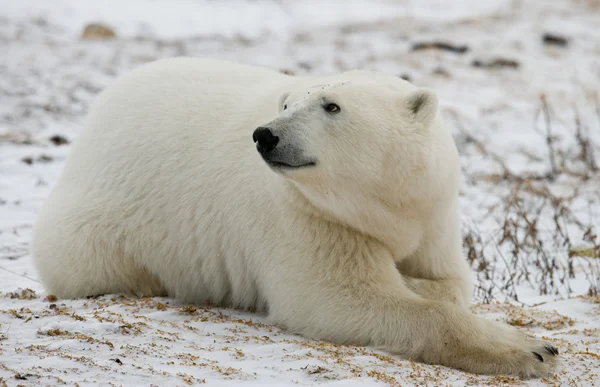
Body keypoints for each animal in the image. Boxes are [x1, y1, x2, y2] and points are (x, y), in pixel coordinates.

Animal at [31, 58, 556, 378]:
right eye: (286, 103)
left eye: (331, 105)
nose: (265, 135)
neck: (379, 205)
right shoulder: (305, 218)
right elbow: (339, 297)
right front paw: (531, 348)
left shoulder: (431, 213)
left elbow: (446, 281)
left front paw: (416, 281)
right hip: (108, 221)